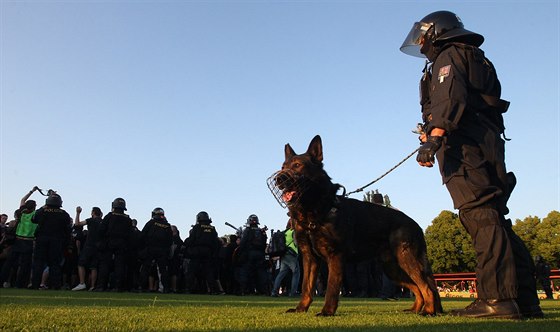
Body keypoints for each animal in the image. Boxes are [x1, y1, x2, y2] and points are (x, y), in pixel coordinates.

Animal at [270, 136, 444, 316]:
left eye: (297, 165)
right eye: (283, 167)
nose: (278, 179)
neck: (315, 209)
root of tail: (416, 225)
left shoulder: (335, 256)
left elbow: (332, 288)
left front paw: (327, 311)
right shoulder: (310, 259)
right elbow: (306, 287)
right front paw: (301, 309)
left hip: (405, 261)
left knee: (427, 287)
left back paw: (428, 311)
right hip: (393, 269)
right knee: (418, 288)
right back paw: (415, 309)